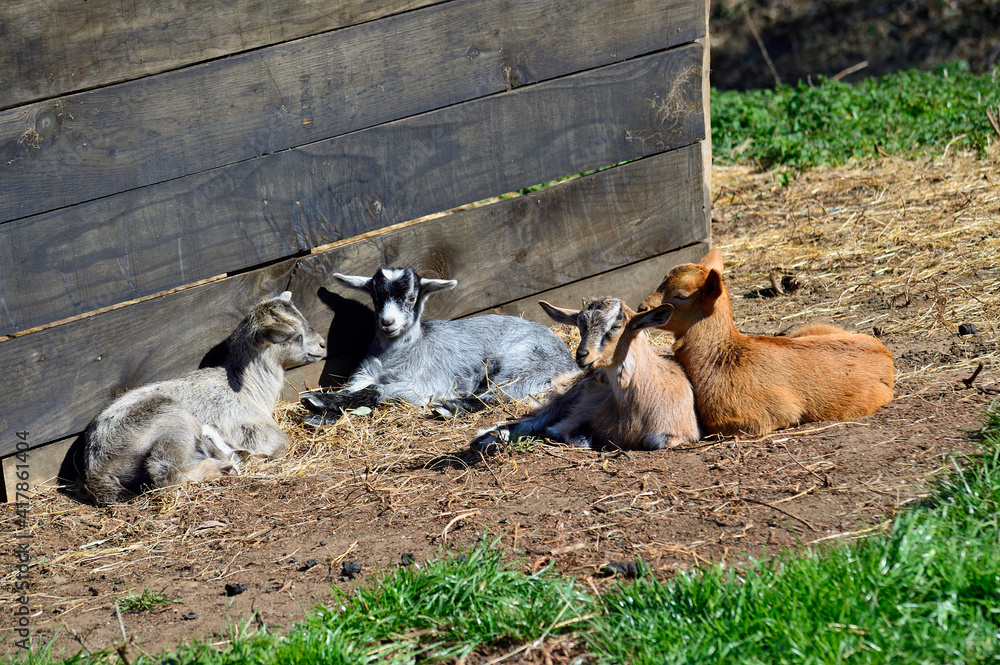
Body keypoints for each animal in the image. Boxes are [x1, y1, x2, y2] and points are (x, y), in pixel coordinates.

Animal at [82, 292, 326, 505]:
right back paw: (222, 468)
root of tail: (95, 469)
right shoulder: (253, 430)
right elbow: (281, 444)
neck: (248, 390)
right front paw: (250, 457)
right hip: (172, 420)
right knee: (164, 472)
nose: (323, 345)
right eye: (295, 335)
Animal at [300, 268, 578, 424]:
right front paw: (320, 412)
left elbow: (375, 391)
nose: (388, 322)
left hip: (523, 365)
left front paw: (317, 403)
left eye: (411, 297)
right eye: (376, 298)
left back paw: (448, 408)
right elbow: (354, 390)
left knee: (499, 395)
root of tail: (570, 360)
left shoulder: (421, 385)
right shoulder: (363, 374)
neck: (403, 351)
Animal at [473, 297, 700, 451]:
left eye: (616, 326)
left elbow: (655, 441)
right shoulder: (582, 410)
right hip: (572, 391)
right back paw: (484, 439)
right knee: (538, 418)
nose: (582, 355)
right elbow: (569, 434)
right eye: (580, 326)